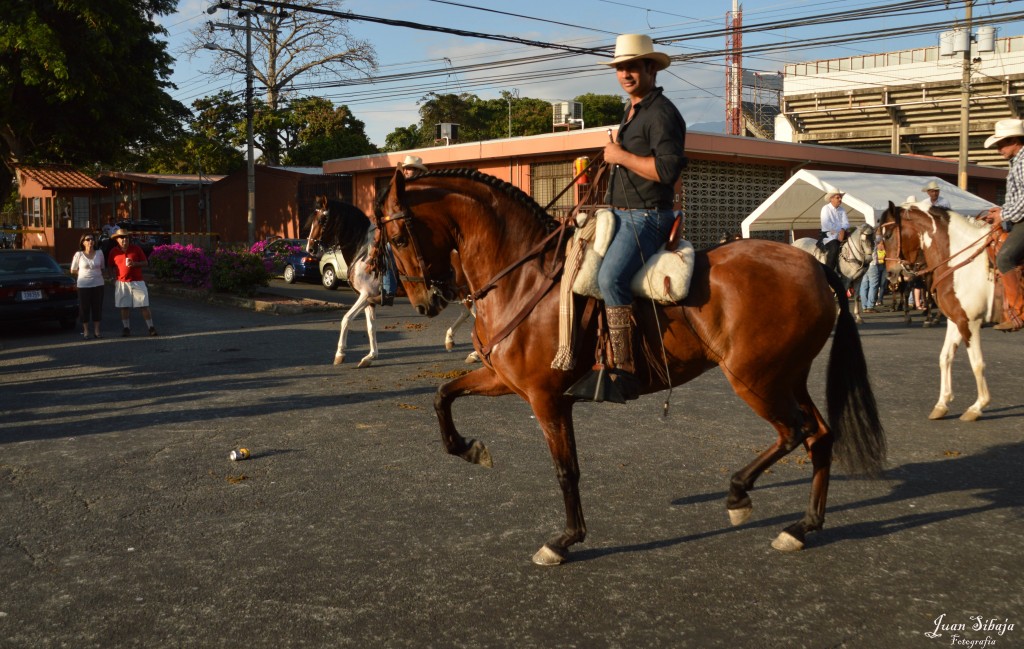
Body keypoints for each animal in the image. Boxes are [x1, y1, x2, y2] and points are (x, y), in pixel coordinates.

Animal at [372, 167, 884, 565]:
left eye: (397, 236)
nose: (423, 301)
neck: (524, 279)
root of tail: (814, 267)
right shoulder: (504, 379)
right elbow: (443, 396)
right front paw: (469, 448)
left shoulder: (545, 398)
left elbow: (566, 470)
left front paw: (565, 540)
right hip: (787, 377)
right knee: (820, 436)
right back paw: (802, 526)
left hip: (756, 380)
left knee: (794, 433)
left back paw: (740, 494)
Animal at [880, 200, 999, 419]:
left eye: (888, 235)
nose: (890, 274)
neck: (958, 261)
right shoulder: (956, 320)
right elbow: (945, 357)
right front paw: (942, 403)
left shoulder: (970, 322)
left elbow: (977, 363)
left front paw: (978, 406)